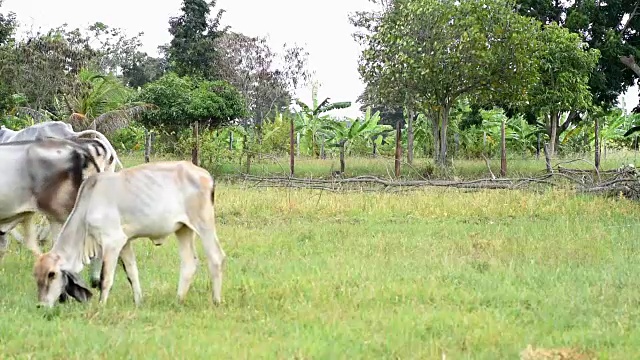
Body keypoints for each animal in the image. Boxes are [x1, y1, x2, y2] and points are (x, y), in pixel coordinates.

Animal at [33, 162, 228, 308]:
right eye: (36, 275)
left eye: (51, 274)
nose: (41, 305)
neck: (88, 205)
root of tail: (206, 175)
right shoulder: (125, 242)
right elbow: (132, 273)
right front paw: (138, 301)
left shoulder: (112, 242)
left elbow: (105, 277)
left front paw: (101, 305)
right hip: (183, 229)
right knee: (189, 263)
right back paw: (178, 300)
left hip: (203, 224)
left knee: (216, 257)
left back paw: (216, 301)